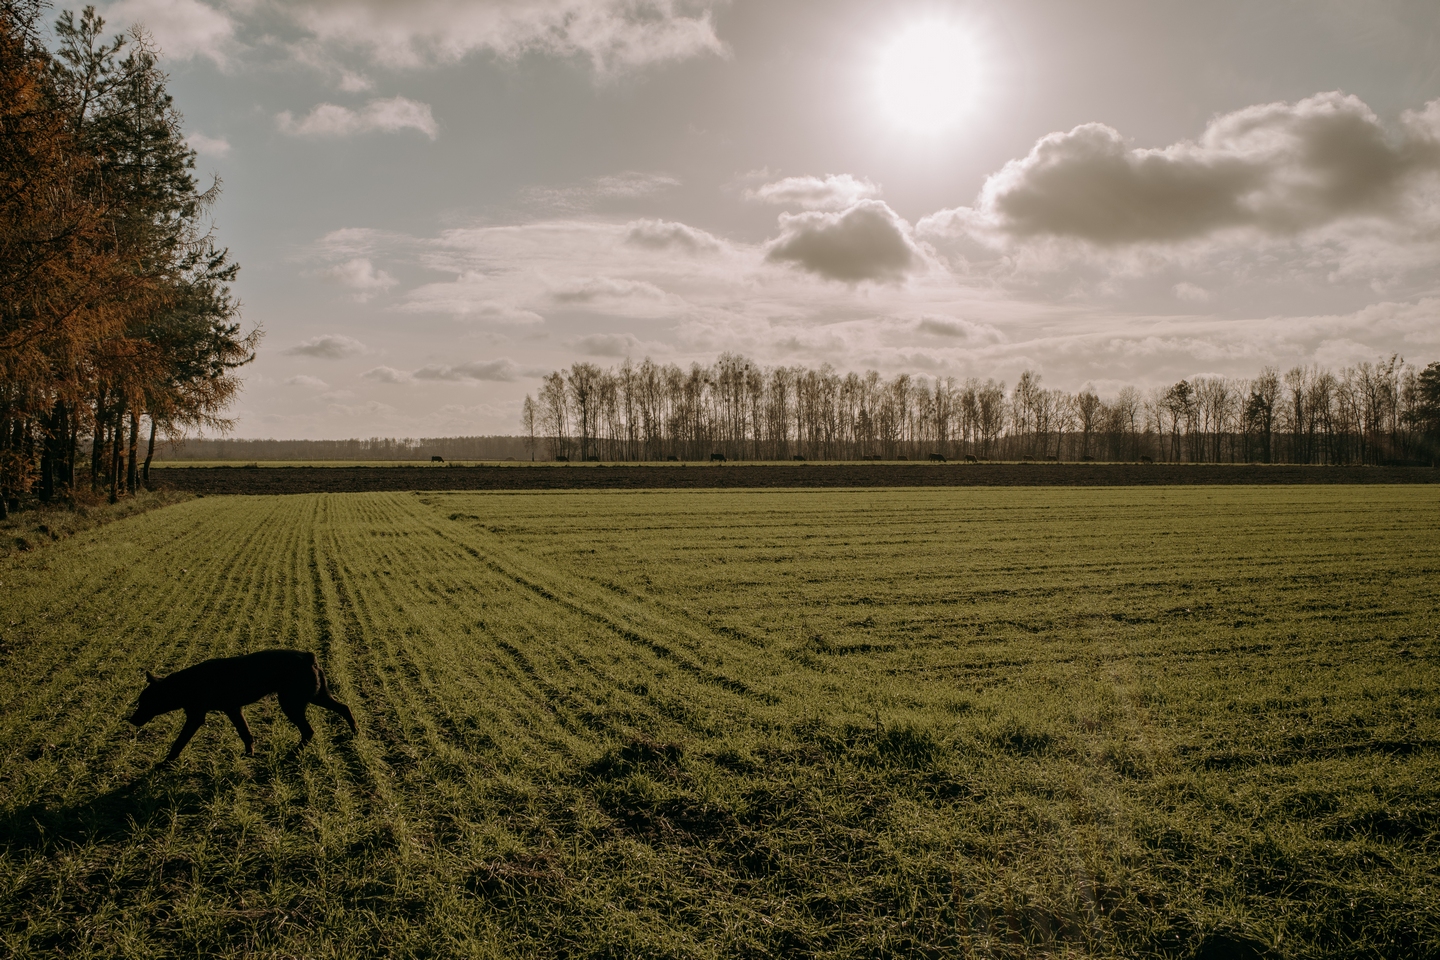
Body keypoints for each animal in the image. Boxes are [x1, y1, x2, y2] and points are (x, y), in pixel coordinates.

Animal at [131, 650, 358, 759]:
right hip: (316, 695)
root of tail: (309, 657)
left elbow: (179, 742)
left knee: (308, 731)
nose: (131, 720)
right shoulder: (233, 710)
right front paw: (249, 753)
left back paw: (293, 754)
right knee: (344, 708)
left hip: (291, 703)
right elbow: (245, 733)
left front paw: (165, 763)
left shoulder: (196, 717)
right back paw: (355, 732)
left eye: (144, 702)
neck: (185, 684)